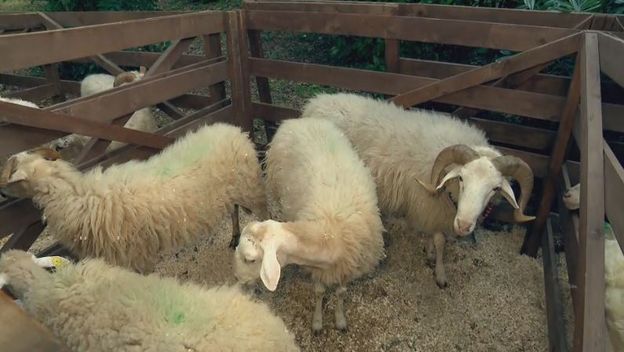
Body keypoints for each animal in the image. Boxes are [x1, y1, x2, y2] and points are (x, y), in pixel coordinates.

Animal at [0, 122, 268, 274]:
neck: (78, 196)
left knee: (262, 213)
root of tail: (235, 130)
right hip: (233, 191)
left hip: (250, 187)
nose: (2, 191)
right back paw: (234, 236)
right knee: (233, 209)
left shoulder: (134, 253)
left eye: (12, 171)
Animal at [233, 117, 386, 332]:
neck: (330, 235)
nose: (237, 278)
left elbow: (340, 292)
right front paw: (318, 322)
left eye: (250, 259)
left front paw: (340, 320)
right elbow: (320, 291)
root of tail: (297, 120)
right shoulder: (318, 270)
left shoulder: (349, 266)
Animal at [302, 92, 536, 288]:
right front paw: (440, 273)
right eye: (461, 178)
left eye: (495, 188)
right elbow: (440, 241)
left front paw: (430, 251)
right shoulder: (429, 206)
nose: (463, 225)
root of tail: (315, 102)